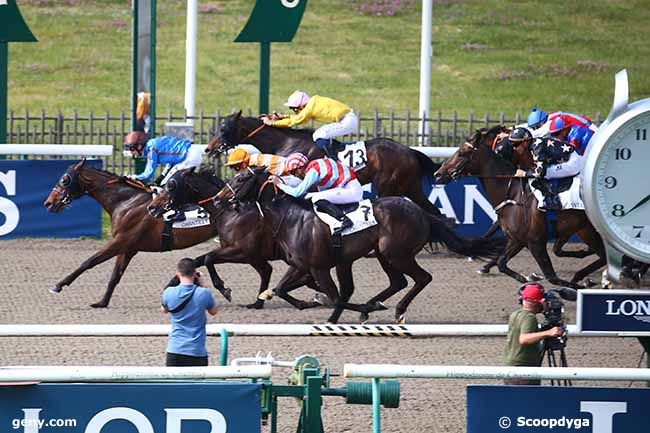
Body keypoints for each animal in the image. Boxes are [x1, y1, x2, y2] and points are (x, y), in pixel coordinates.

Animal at [43, 159, 230, 308]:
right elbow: (115, 276)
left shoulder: (120, 241)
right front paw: (102, 302)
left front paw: (58, 285)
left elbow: (89, 262)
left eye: (64, 180)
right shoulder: (128, 247)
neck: (126, 202)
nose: (48, 203)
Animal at [144, 167, 322, 308]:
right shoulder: (246, 254)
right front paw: (173, 283)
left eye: (171, 185)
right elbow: (198, 259)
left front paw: (224, 289)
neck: (231, 213)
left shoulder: (242, 252)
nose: (152, 207)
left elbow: (208, 258)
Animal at [204, 111, 446, 221]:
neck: (286, 142)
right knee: (436, 212)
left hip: (389, 187)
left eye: (224, 129)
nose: (208, 149)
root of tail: (410, 151)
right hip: (411, 187)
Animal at [215, 167, 504, 322]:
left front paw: (358, 309)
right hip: (384, 255)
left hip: (396, 253)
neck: (293, 218)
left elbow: (335, 297)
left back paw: (396, 310)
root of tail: (421, 212)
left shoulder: (318, 267)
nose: (218, 199)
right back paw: (378, 304)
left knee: (422, 278)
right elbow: (282, 289)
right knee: (398, 282)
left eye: (241, 179)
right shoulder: (299, 265)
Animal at [432, 125, 604, 286]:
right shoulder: (518, 240)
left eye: (462, 153)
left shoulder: (536, 242)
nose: (438, 174)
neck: (513, 193)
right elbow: (502, 262)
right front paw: (522, 278)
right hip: (585, 229)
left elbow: (552, 277)